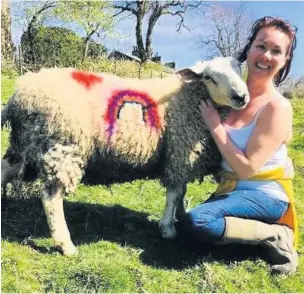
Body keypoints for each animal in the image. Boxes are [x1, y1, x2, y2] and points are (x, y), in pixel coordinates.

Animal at [1, 56, 249, 256]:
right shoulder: (180, 150)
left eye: (238, 68)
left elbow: (181, 192)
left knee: (5, 170)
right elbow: (175, 192)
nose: (241, 97)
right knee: (51, 198)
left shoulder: (180, 157)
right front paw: (168, 228)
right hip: (63, 147)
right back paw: (66, 245)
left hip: (23, 145)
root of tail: (18, 96)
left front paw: (181, 215)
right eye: (209, 77)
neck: (190, 96)